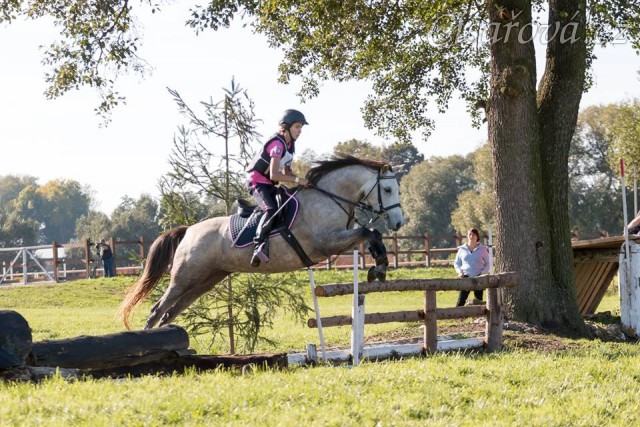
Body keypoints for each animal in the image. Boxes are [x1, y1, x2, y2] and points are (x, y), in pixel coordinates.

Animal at [119, 155, 404, 329]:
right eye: (388, 189)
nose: (399, 223)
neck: (329, 197)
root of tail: (188, 231)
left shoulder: (339, 242)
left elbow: (370, 234)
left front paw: (378, 267)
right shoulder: (325, 243)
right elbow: (368, 231)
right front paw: (379, 266)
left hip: (206, 280)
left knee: (171, 311)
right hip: (185, 278)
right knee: (158, 308)